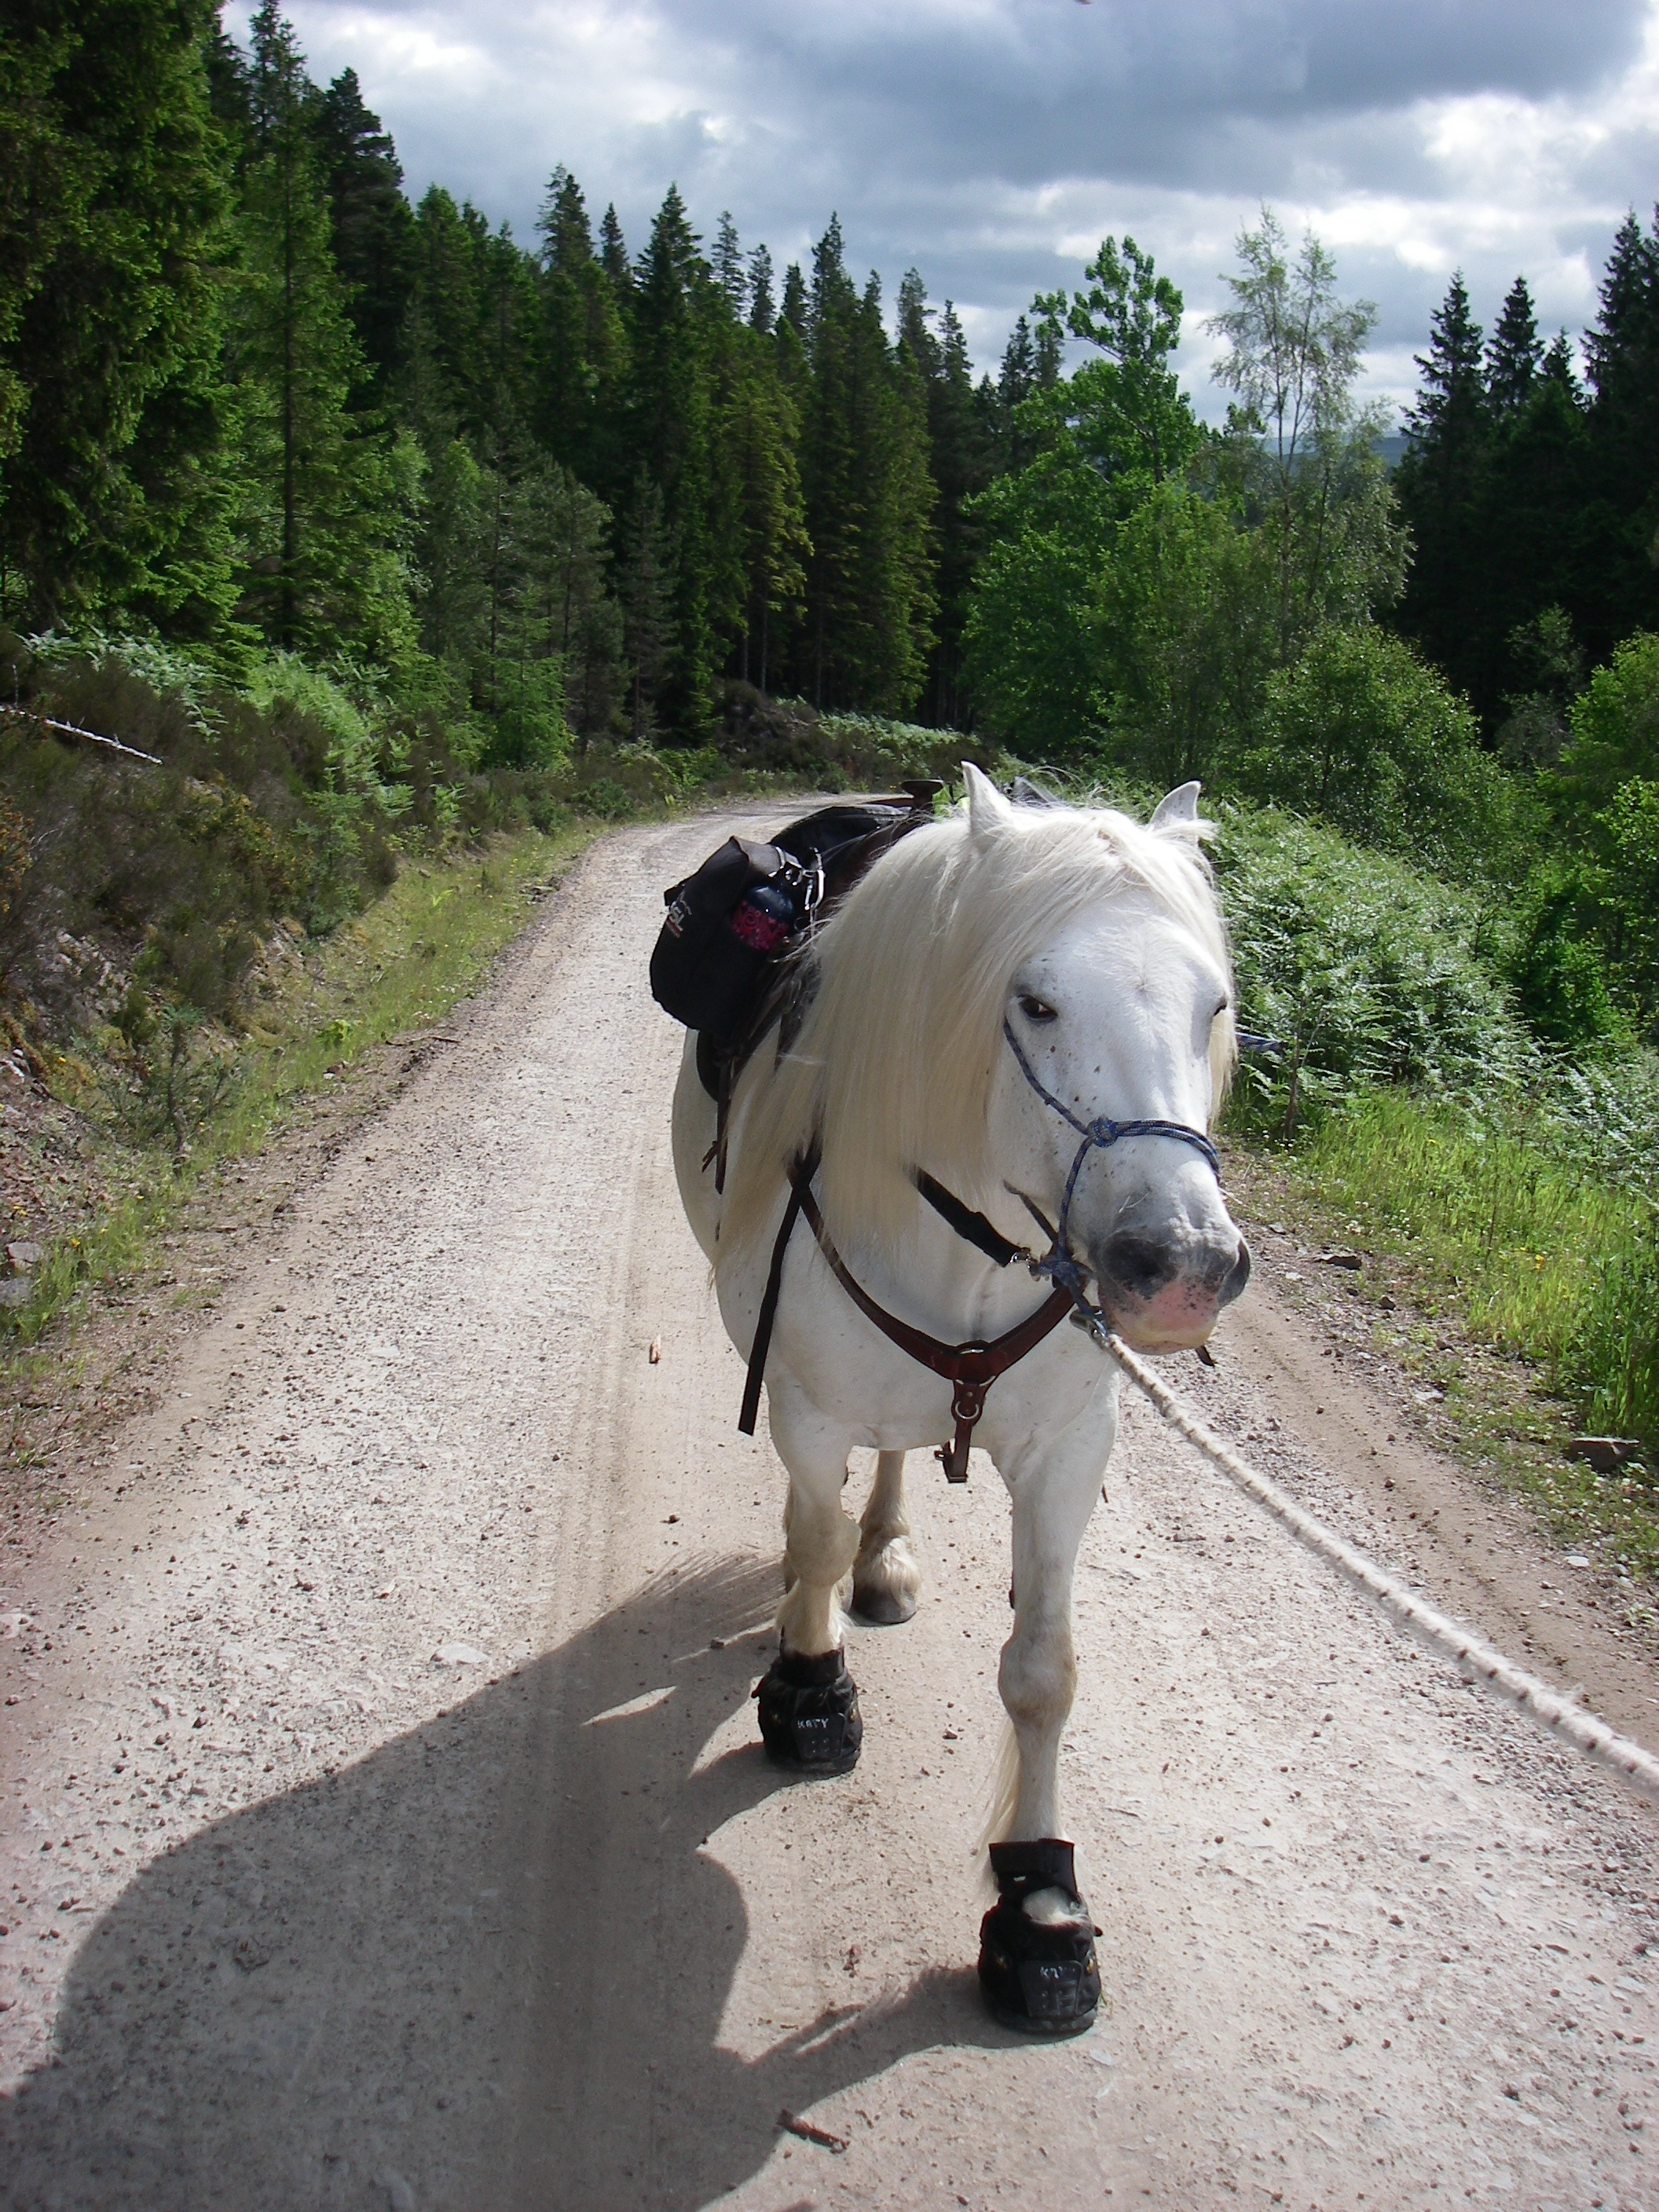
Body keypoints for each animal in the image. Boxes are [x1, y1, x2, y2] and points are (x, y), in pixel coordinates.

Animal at [670, 764, 1251, 2034]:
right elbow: (811, 1533)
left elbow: (1043, 1671)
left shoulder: (1071, 1450)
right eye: (1034, 1001)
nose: (1181, 1264)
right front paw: (809, 1688)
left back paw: (887, 1551)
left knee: (897, 1462)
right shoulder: (805, 1407)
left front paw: (1039, 1908)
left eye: (1214, 1006)